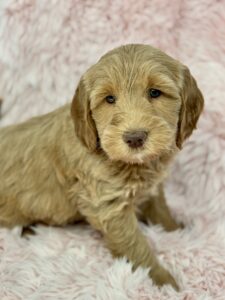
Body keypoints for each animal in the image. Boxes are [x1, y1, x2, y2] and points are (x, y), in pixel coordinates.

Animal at [0, 44, 204, 288]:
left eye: (155, 92)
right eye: (109, 99)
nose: (135, 138)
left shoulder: (152, 188)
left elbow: (161, 211)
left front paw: (177, 231)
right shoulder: (108, 206)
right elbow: (135, 246)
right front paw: (163, 281)